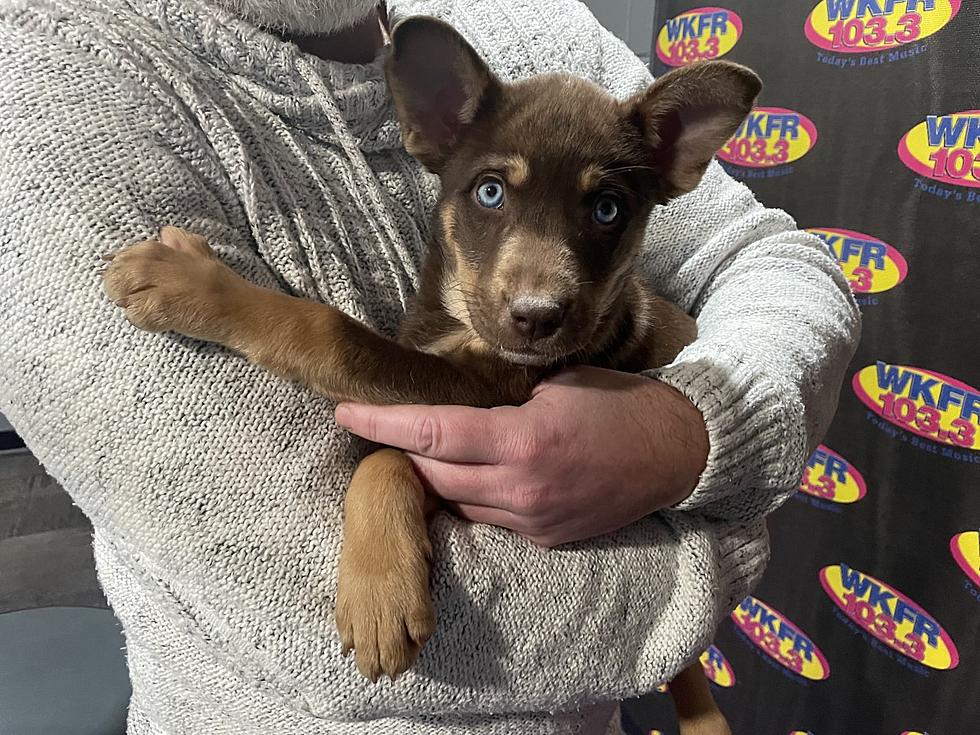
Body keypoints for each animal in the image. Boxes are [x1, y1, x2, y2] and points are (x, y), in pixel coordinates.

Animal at [101, 17, 756, 735]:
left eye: (608, 209)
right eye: (490, 191)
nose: (538, 318)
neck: (456, 324)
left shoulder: (475, 407)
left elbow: (337, 352)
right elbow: (381, 443)